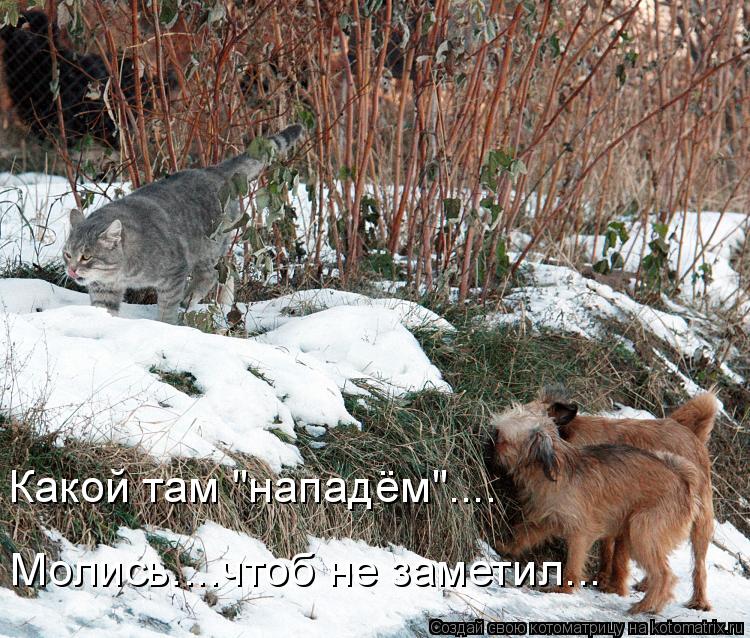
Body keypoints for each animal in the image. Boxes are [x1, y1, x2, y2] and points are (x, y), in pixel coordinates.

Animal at [63, 124, 303, 323]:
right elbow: (104, 310)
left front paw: (167, 326)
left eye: (86, 256)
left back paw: (192, 298)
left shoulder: (173, 273)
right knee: (228, 267)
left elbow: (167, 308)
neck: (120, 272)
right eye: (67, 254)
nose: (72, 270)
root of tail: (212, 169)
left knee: (212, 274)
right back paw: (225, 303)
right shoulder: (104, 290)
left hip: (207, 248)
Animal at [491, 403, 701, 614]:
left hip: (642, 532)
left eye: (502, 439)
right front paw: (504, 547)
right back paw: (654, 605)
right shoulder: (546, 520)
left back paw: (645, 605)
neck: (554, 467)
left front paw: (564, 589)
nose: (490, 437)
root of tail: (683, 482)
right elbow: (523, 535)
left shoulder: (581, 532)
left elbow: (573, 563)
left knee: (664, 574)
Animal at [536, 387, 716, 610]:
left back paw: (698, 600)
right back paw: (649, 586)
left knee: (698, 565)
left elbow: (618, 556)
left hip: (697, 523)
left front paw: (614, 586)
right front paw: (604, 579)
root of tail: (691, 434)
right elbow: (607, 550)